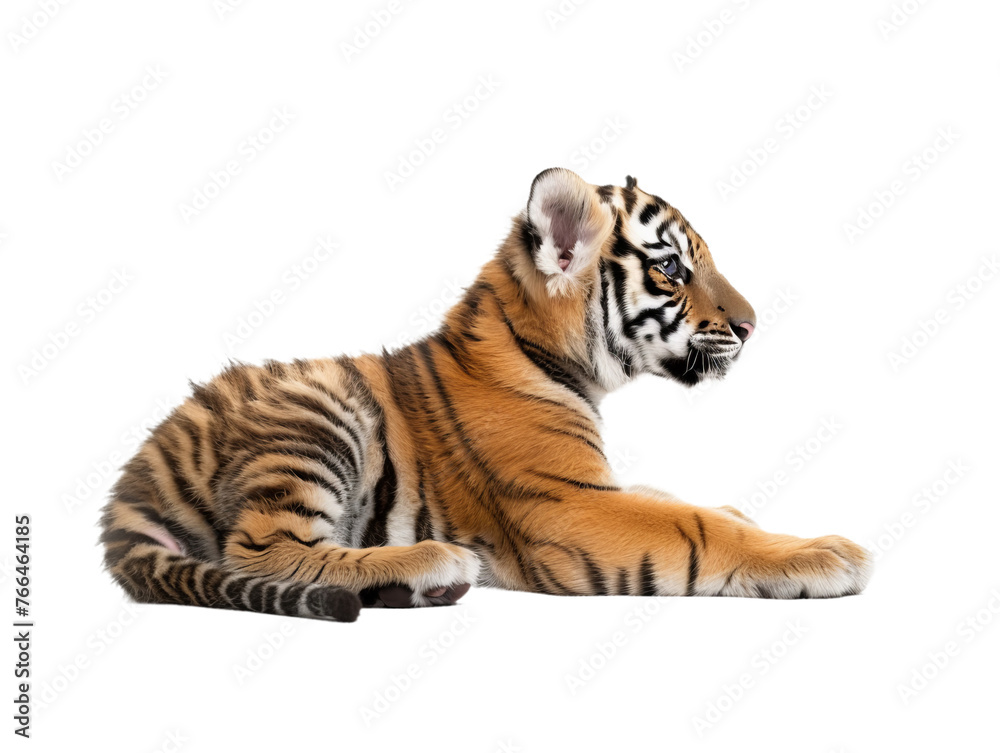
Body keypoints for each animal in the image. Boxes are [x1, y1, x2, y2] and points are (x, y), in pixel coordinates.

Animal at [99, 168, 872, 622]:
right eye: (673, 269)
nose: (751, 324)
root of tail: (134, 477)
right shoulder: (568, 503)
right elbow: (697, 526)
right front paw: (825, 554)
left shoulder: (598, 484)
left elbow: (686, 500)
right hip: (316, 414)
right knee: (258, 550)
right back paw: (429, 562)